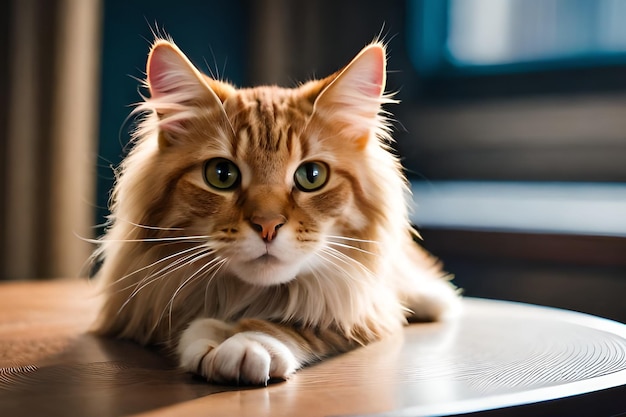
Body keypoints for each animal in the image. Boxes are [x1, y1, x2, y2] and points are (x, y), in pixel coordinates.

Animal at [95, 37, 460, 386]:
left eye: (312, 176)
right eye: (221, 175)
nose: (267, 225)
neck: (248, 296)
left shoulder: (365, 309)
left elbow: (302, 322)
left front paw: (249, 341)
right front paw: (211, 334)